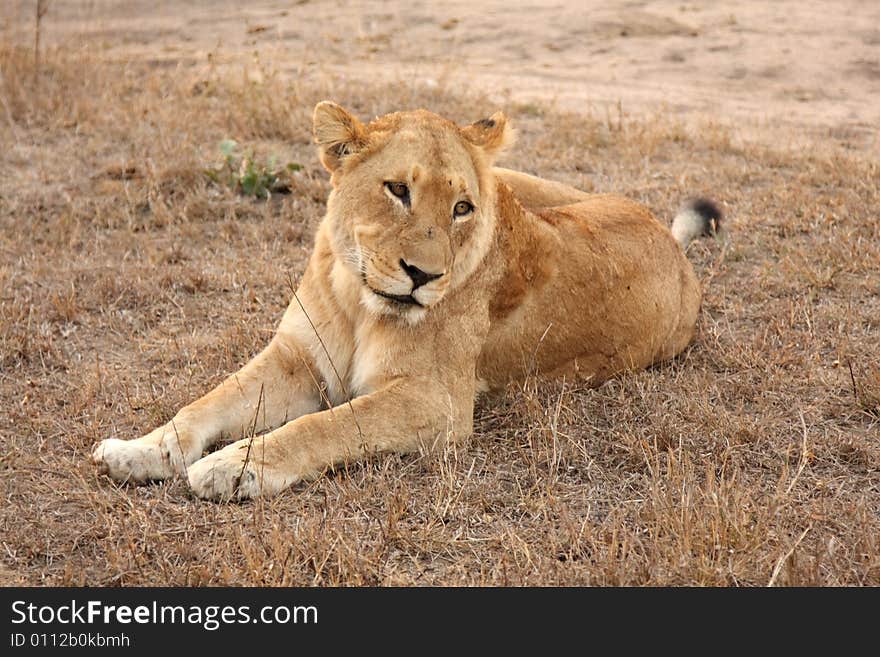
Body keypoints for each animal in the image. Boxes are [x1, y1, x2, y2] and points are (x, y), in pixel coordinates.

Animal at [91, 101, 720, 498]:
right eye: (398, 190)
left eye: (462, 208)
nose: (423, 275)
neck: (356, 299)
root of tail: (671, 241)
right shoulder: (296, 358)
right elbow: (206, 402)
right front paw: (139, 451)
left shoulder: (436, 402)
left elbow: (327, 425)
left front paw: (235, 465)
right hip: (518, 181)